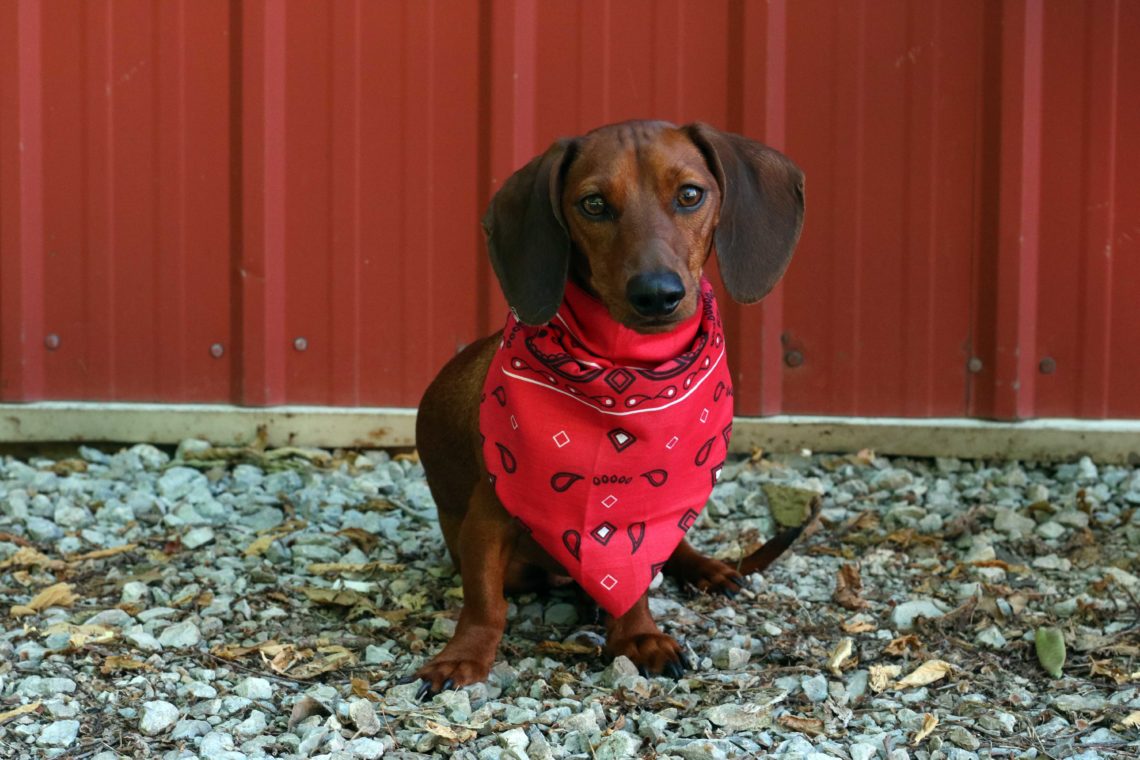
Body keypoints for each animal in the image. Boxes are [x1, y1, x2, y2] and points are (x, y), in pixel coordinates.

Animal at [414, 117, 807, 697]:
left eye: (690, 195)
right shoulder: (487, 520)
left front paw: (638, 635)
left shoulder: (638, 526)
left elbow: (635, 577)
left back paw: (706, 569)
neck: (623, 380)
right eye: (594, 204)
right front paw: (462, 657)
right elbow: (485, 604)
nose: (657, 294)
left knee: (675, 551)